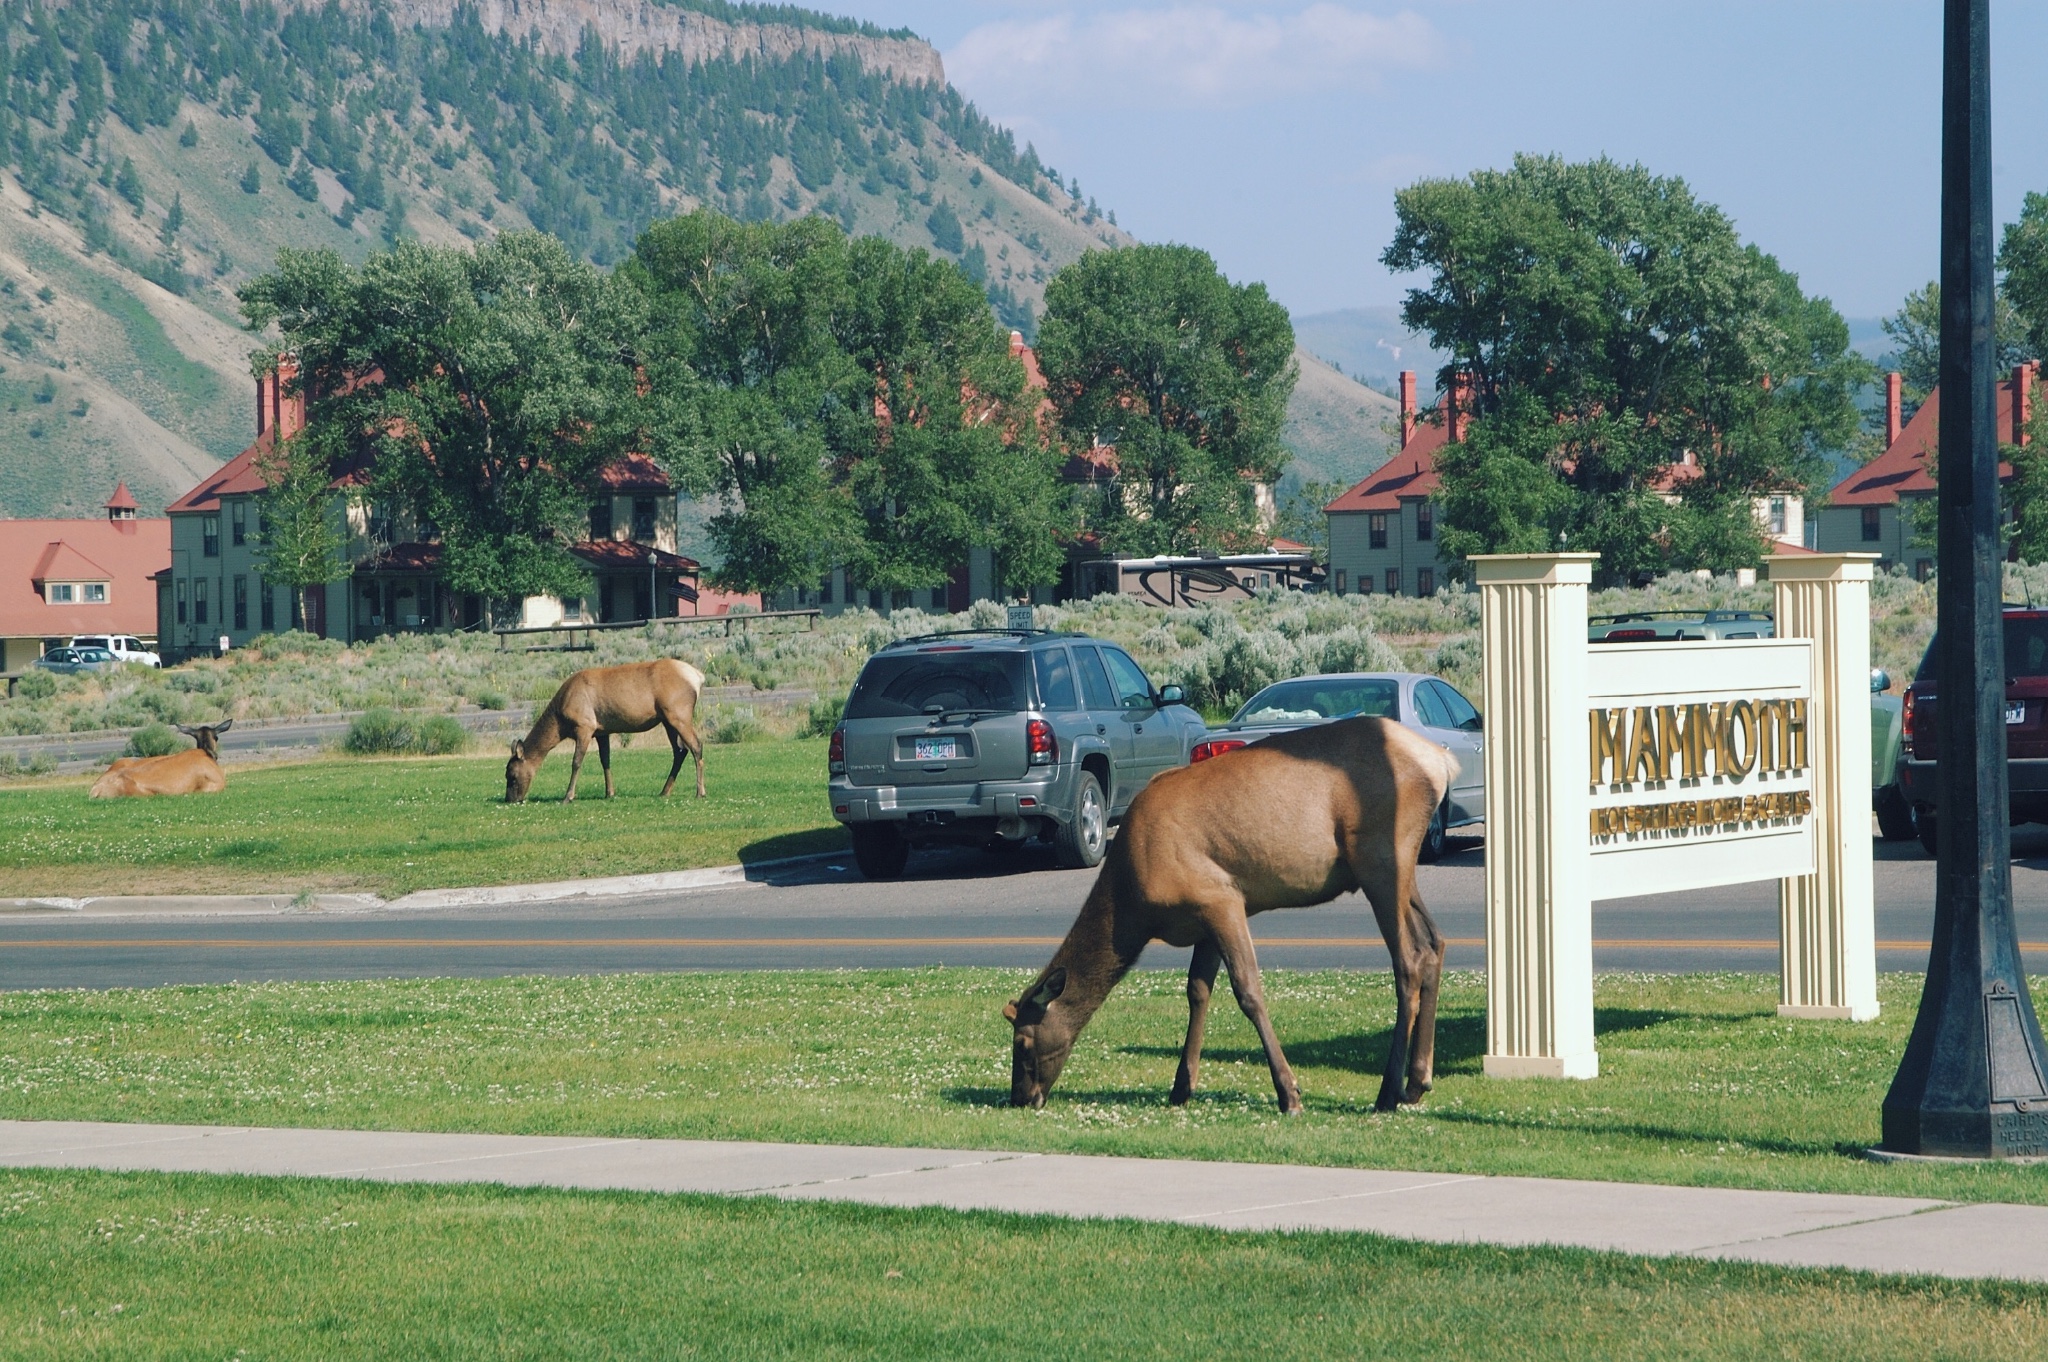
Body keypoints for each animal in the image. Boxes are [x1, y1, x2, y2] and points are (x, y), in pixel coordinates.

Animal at [505, 659, 712, 802]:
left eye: (512, 776)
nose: (510, 799)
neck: (560, 723)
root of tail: (698, 677)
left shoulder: (585, 726)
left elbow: (576, 762)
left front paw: (568, 796)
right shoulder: (602, 731)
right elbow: (605, 760)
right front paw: (609, 793)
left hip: (679, 715)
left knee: (696, 746)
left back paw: (700, 792)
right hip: (667, 720)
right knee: (680, 750)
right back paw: (664, 791)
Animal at [1003, 716, 1458, 1114]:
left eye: (1022, 1042)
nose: (1021, 1098)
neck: (1134, 904)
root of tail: (1440, 761)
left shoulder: (1221, 899)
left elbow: (1248, 991)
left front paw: (1289, 1094)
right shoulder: (1203, 918)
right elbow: (1197, 991)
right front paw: (1180, 1087)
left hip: (1380, 858)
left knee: (1408, 959)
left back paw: (1388, 1092)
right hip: (1398, 869)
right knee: (1434, 941)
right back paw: (1418, 1081)